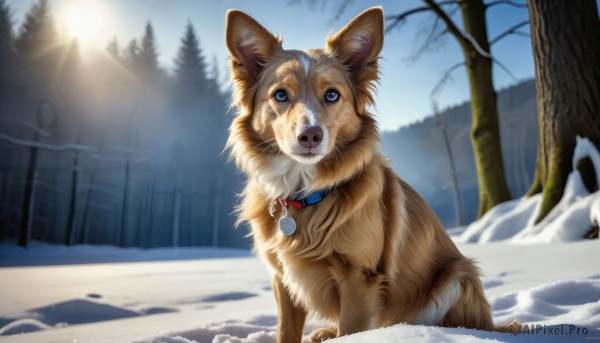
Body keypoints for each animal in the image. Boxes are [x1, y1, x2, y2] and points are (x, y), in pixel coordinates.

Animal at [224, 6, 502, 343]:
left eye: (332, 95)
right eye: (280, 95)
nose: (310, 135)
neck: (305, 191)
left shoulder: (360, 279)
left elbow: (352, 329)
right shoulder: (283, 277)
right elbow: (285, 332)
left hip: (458, 276)